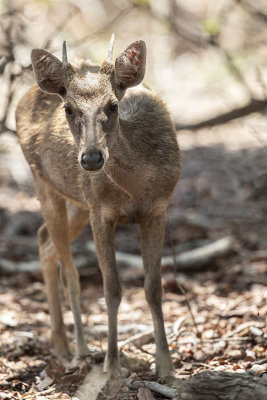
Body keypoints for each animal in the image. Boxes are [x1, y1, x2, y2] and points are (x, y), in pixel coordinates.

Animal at [15, 35, 181, 378]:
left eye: (113, 105)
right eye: (68, 108)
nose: (91, 158)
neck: (134, 187)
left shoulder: (158, 209)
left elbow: (153, 287)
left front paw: (166, 367)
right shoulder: (101, 213)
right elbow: (111, 289)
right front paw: (111, 364)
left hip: (78, 201)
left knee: (43, 240)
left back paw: (61, 345)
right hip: (44, 182)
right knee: (69, 271)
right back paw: (78, 349)